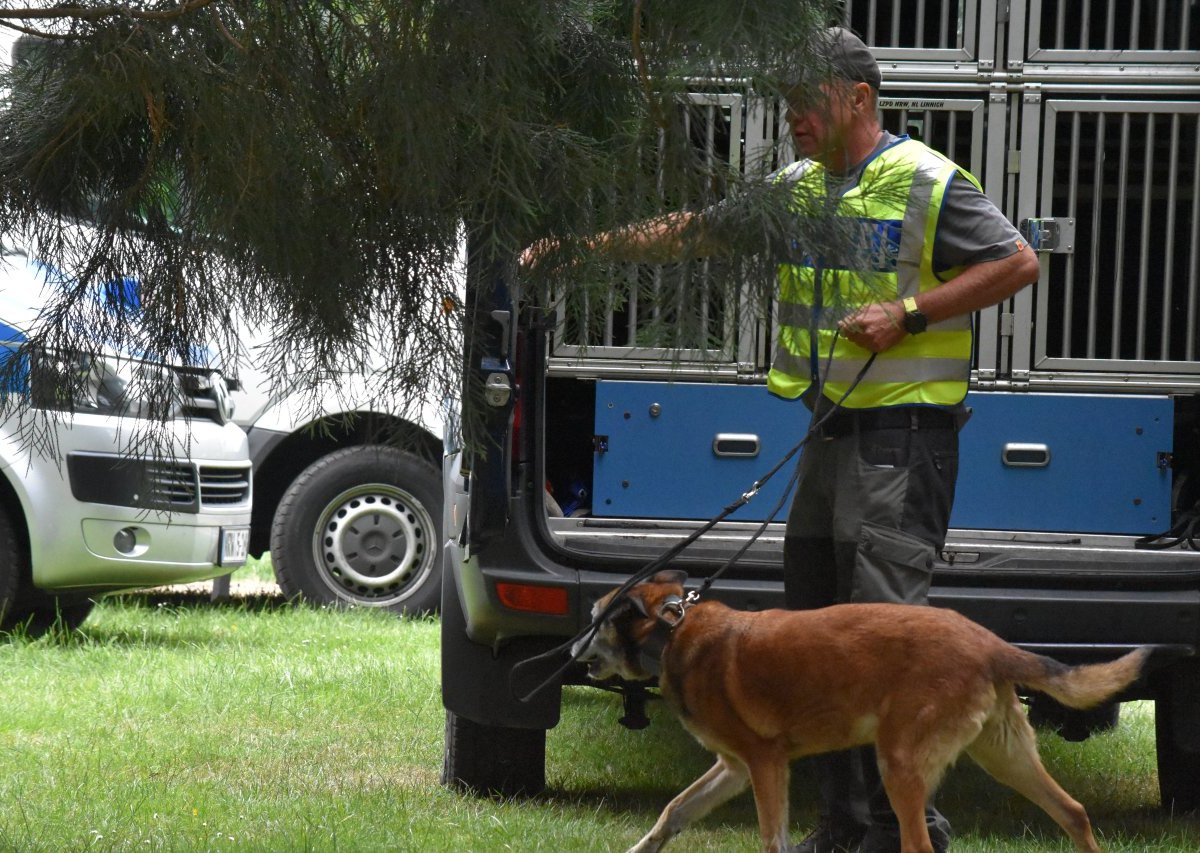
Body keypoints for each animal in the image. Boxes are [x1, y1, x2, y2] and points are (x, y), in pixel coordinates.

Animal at [576, 571, 1147, 853]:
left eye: (596, 621)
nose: (571, 651)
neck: (673, 633)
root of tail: (989, 642)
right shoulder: (734, 768)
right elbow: (673, 812)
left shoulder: (764, 764)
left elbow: (772, 839)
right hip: (1006, 756)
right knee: (1073, 812)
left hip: (899, 764)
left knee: (918, 845)